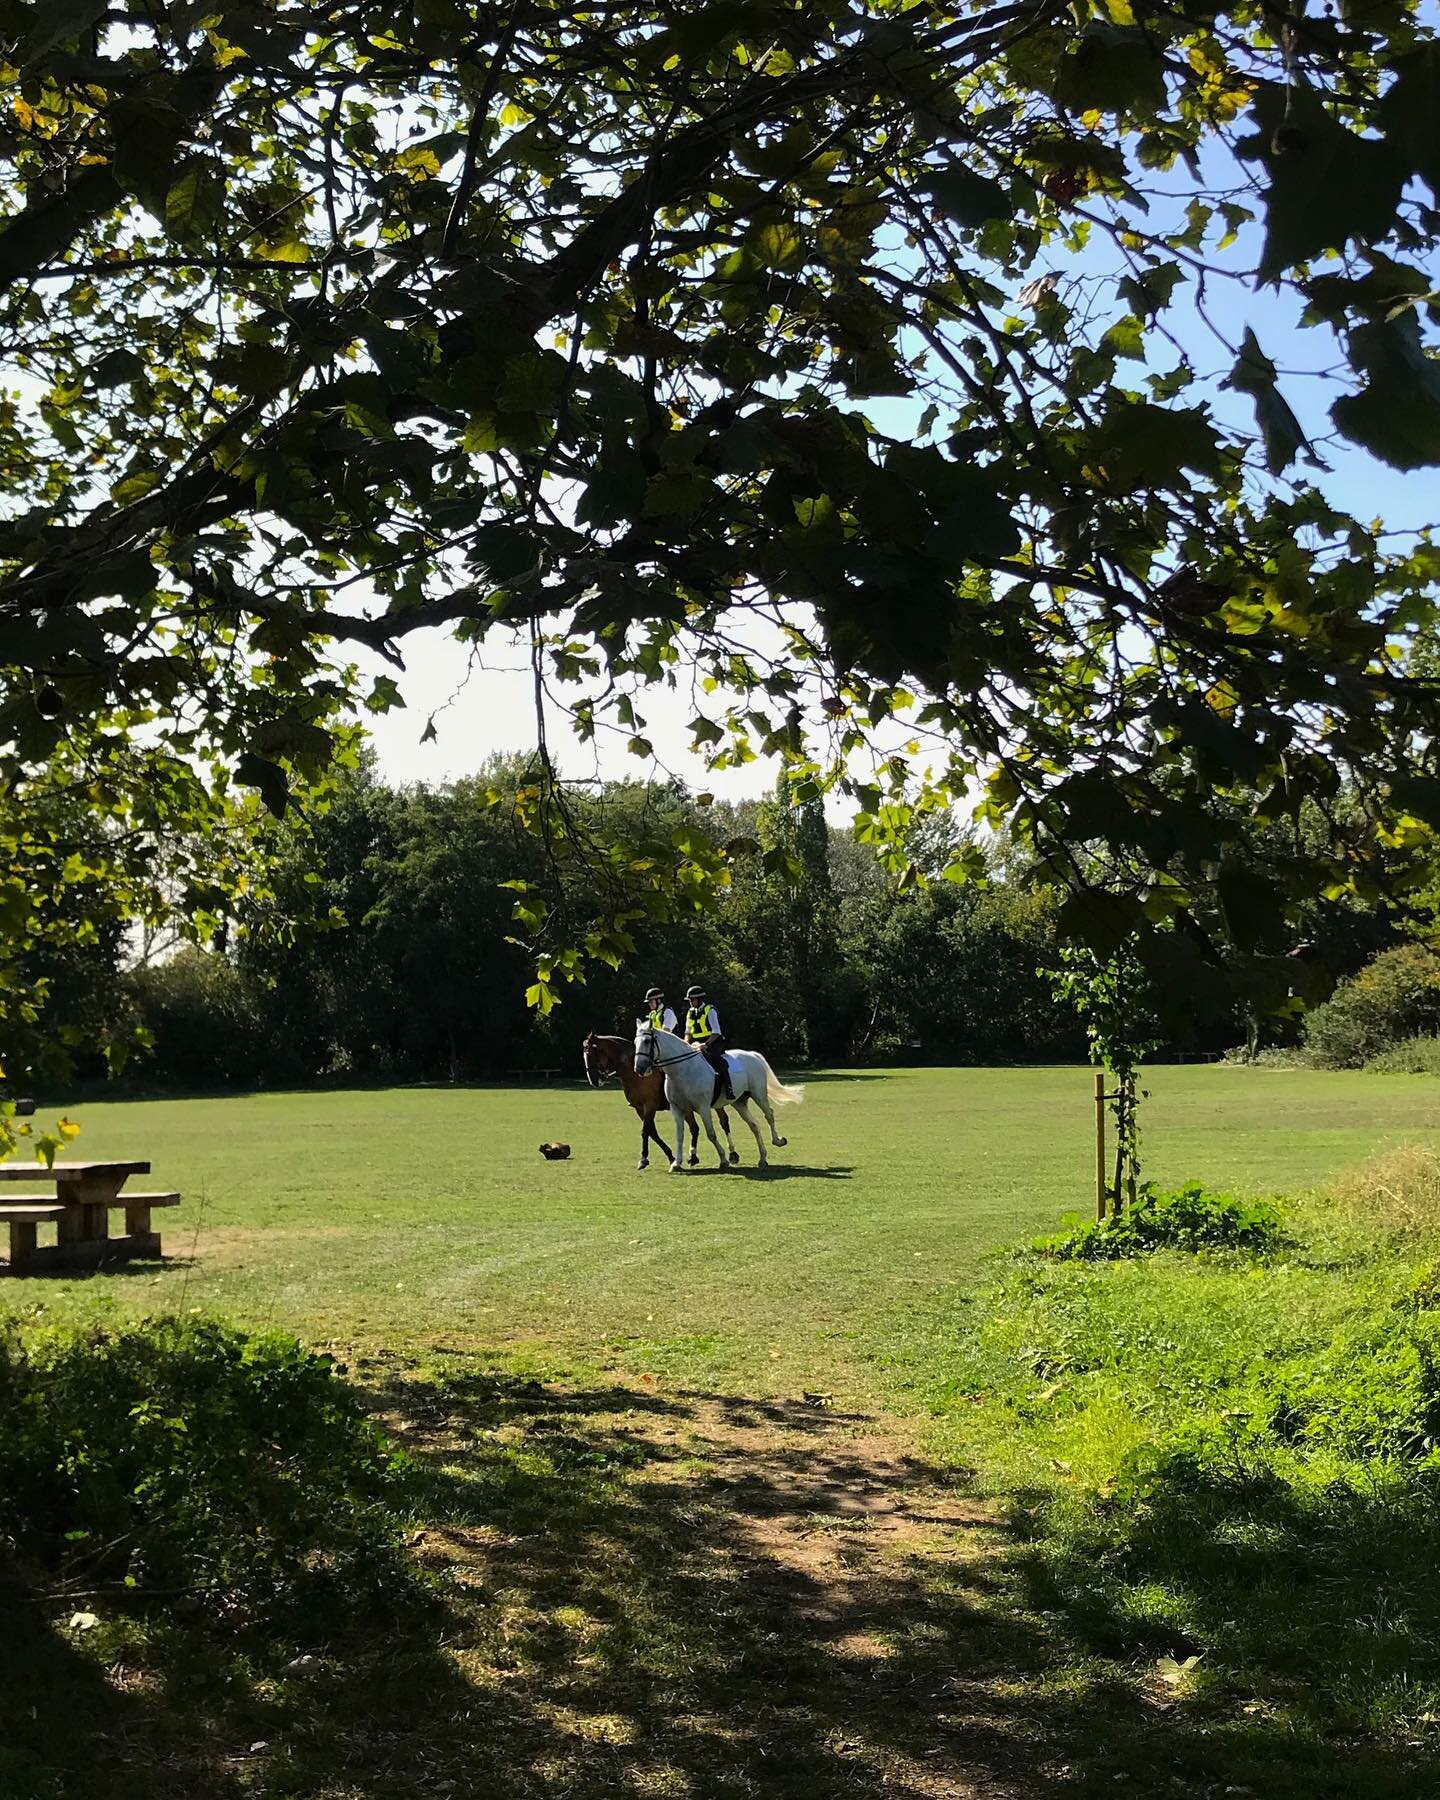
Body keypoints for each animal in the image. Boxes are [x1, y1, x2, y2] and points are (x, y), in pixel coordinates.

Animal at [579, 1036, 738, 1173]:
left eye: (593, 1053)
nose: (594, 1080)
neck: (635, 1073)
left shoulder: (650, 1106)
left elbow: (645, 1131)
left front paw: (643, 1159)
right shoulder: (640, 1109)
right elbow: (652, 1133)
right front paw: (671, 1157)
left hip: (713, 1104)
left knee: (723, 1122)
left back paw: (732, 1154)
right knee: (695, 1127)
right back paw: (693, 1157)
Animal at [637, 1029, 802, 1166]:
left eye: (647, 1041)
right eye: (635, 1042)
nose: (639, 1068)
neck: (683, 1070)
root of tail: (753, 1055)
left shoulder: (703, 1108)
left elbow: (711, 1134)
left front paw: (723, 1159)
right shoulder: (677, 1109)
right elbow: (680, 1135)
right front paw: (676, 1163)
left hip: (759, 1094)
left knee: (769, 1114)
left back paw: (778, 1141)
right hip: (739, 1102)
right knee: (754, 1125)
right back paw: (762, 1158)